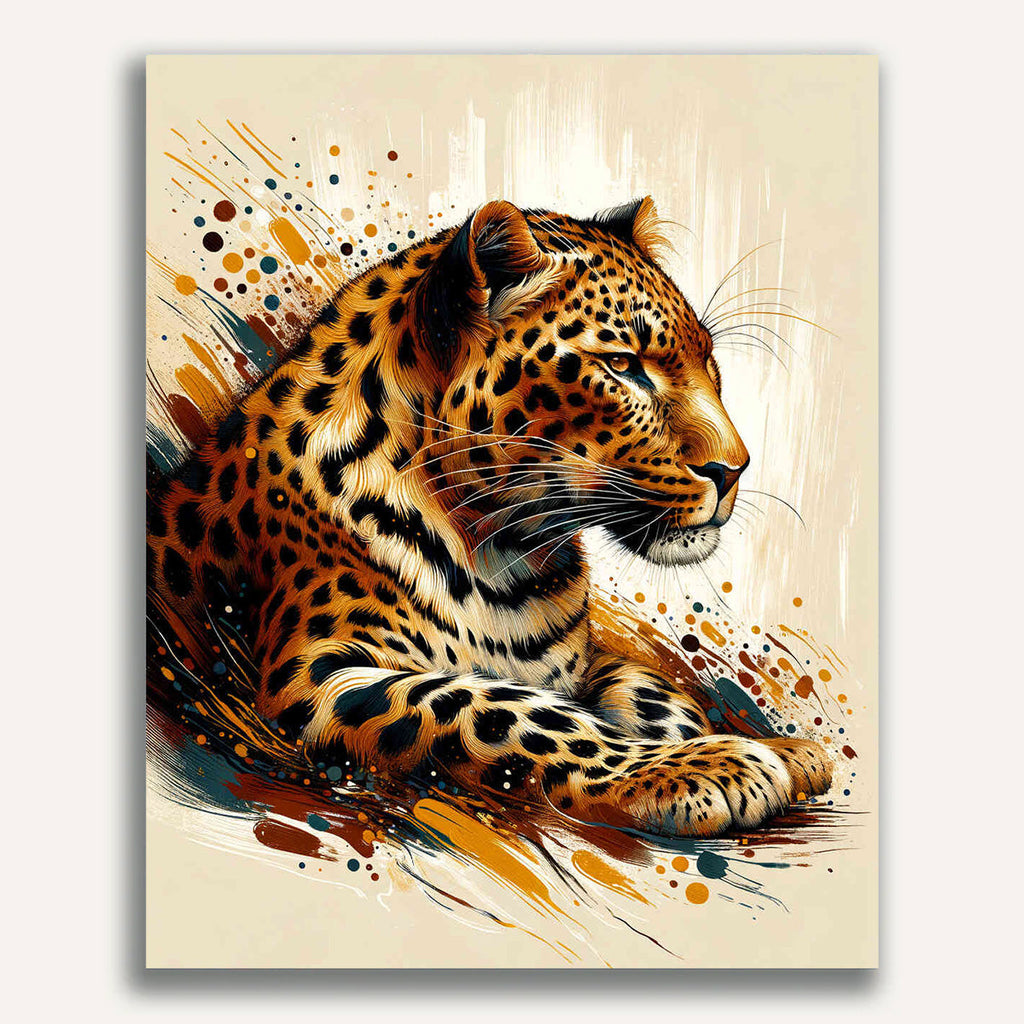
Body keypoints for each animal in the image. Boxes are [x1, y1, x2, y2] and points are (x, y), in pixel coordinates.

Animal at [146, 196, 832, 837]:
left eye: (709, 363)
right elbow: (500, 707)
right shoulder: (315, 675)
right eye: (621, 365)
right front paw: (707, 767)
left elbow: (653, 693)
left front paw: (777, 750)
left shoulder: (584, 661)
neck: (508, 556)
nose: (734, 469)